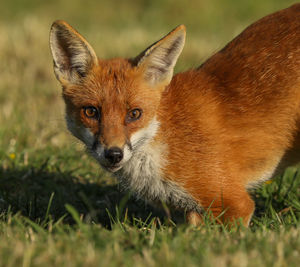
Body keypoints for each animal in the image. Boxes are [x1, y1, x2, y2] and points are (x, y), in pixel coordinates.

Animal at [49, 4, 300, 226]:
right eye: (91, 112)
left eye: (134, 114)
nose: (113, 154)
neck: (163, 136)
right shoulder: (192, 210)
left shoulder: (232, 202)